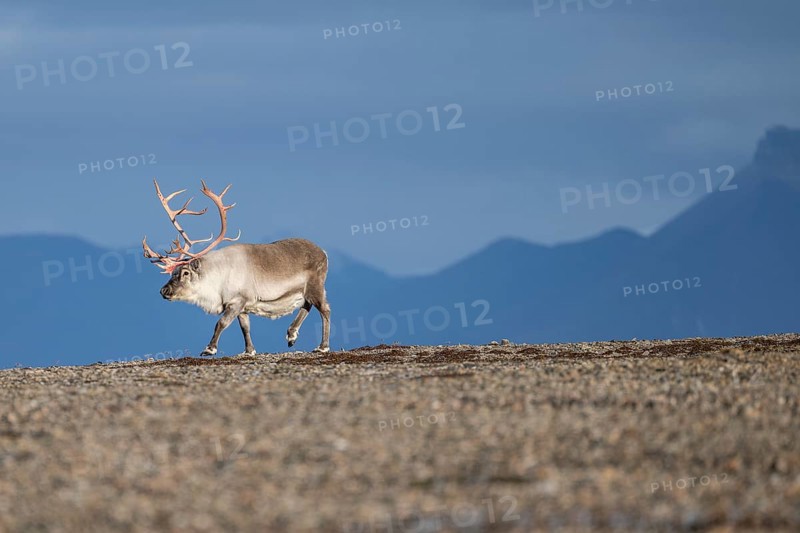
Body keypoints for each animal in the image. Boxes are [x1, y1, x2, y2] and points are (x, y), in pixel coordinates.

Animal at [142, 179, 331, 356]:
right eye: (173, 272)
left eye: (185, 272)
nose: (164, 290)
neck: (215, 280)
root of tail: (324, 252)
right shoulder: (243, 307)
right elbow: (245, 328)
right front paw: (249, 350)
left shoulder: (237, 300)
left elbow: (221, 323)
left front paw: (209, 349)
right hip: (305, 290)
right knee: (307, 305)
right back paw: (291, 335)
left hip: (315, 285)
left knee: (324, 309)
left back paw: (322, 347)